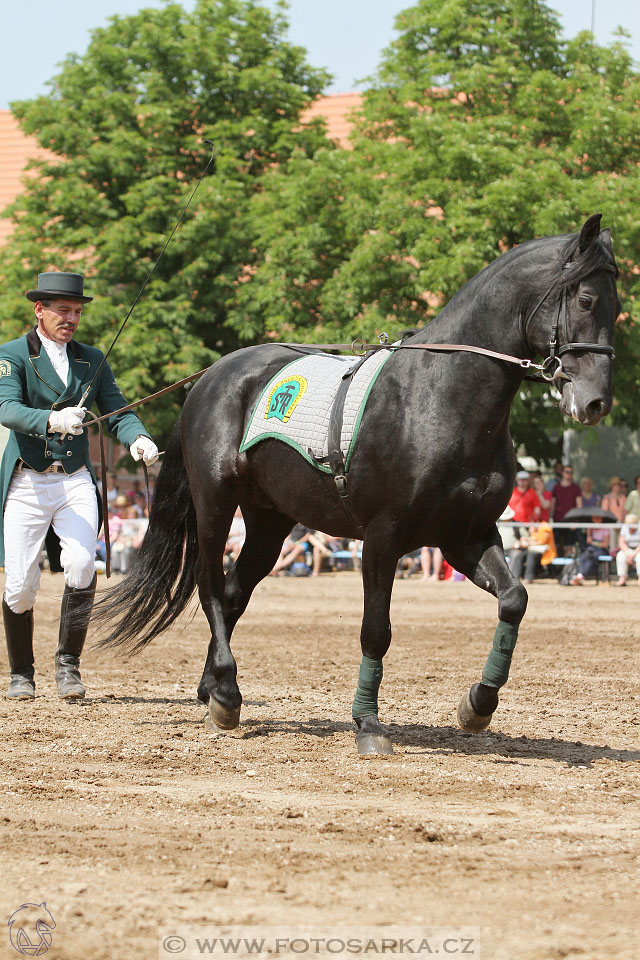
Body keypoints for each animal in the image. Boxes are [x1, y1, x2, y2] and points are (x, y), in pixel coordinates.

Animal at [94, 214, 620, 752]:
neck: (441, 397)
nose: (596, 402)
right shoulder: (383, 538)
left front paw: (478, 704)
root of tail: (210, 376)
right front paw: (367, 723)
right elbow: (376, 631)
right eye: (585, 300)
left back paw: (217, 690)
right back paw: (225, 693)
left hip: (269, 519)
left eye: (618, 307)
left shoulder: (465, 537)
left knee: (236, 591)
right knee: (211, 585)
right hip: (216, 504)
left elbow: (514, 599)